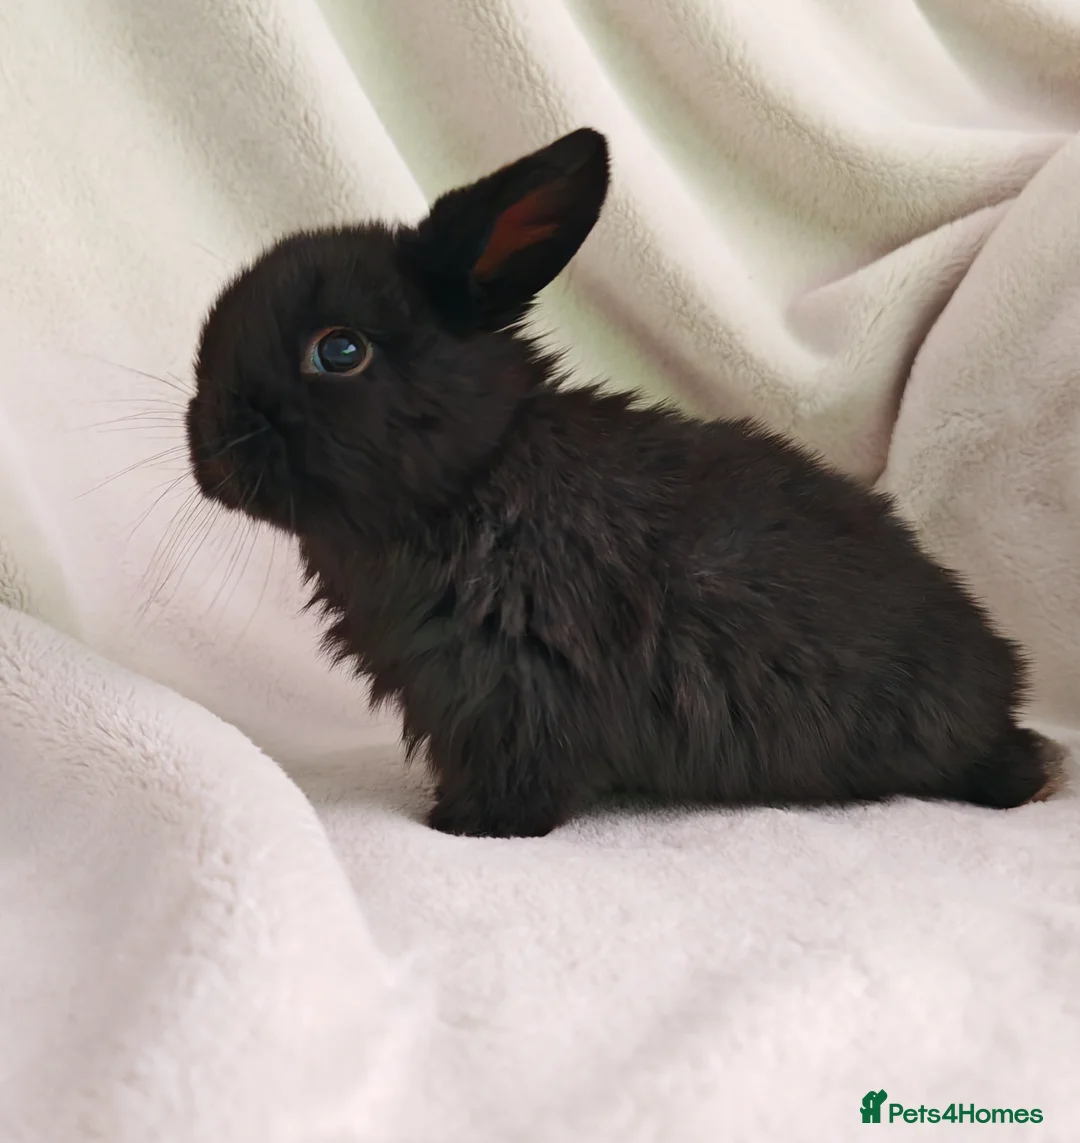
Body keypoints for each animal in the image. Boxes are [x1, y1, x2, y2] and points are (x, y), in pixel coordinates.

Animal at [186, 127, 1064, 838]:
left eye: (339, 350)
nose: (208, 448)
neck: (477, 475)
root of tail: (1003, 681)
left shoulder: (521, 683)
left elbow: (523, 770)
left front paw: (469, 825)